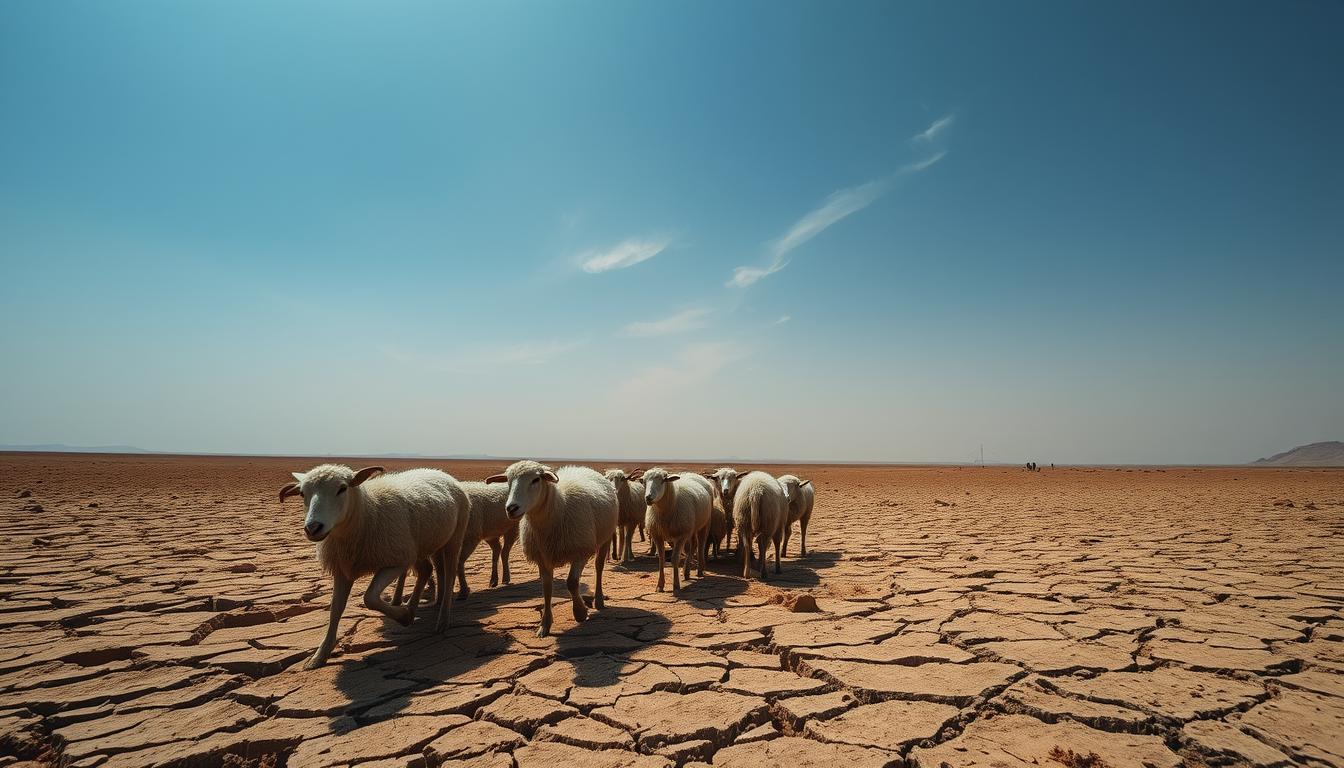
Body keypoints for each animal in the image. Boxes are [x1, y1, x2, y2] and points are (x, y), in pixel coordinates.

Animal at [279, 465, 473, 669]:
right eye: (302, 493)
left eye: (342, 488)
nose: (313, 528)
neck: (367, 511)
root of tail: (440, 472)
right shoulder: (343, 569)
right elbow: (335, 610)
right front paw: (319, 655)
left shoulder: (395, 562)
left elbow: (369, 598)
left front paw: (402, 616)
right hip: (421, 546)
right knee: (427, 570)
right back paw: (414, 608)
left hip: (453, 537)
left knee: (449, 573)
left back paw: (442, 619)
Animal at [483, 462, 618, 637]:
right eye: (508, 481)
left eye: (536, 480)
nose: (511, 508)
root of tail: (582, 467)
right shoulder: (542, 557)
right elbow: (546, 589)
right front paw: (544, 625)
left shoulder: (580, 551)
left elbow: (571, 582)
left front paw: (580, 613)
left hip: (605, 537)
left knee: (599, 567)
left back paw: (599, 600)